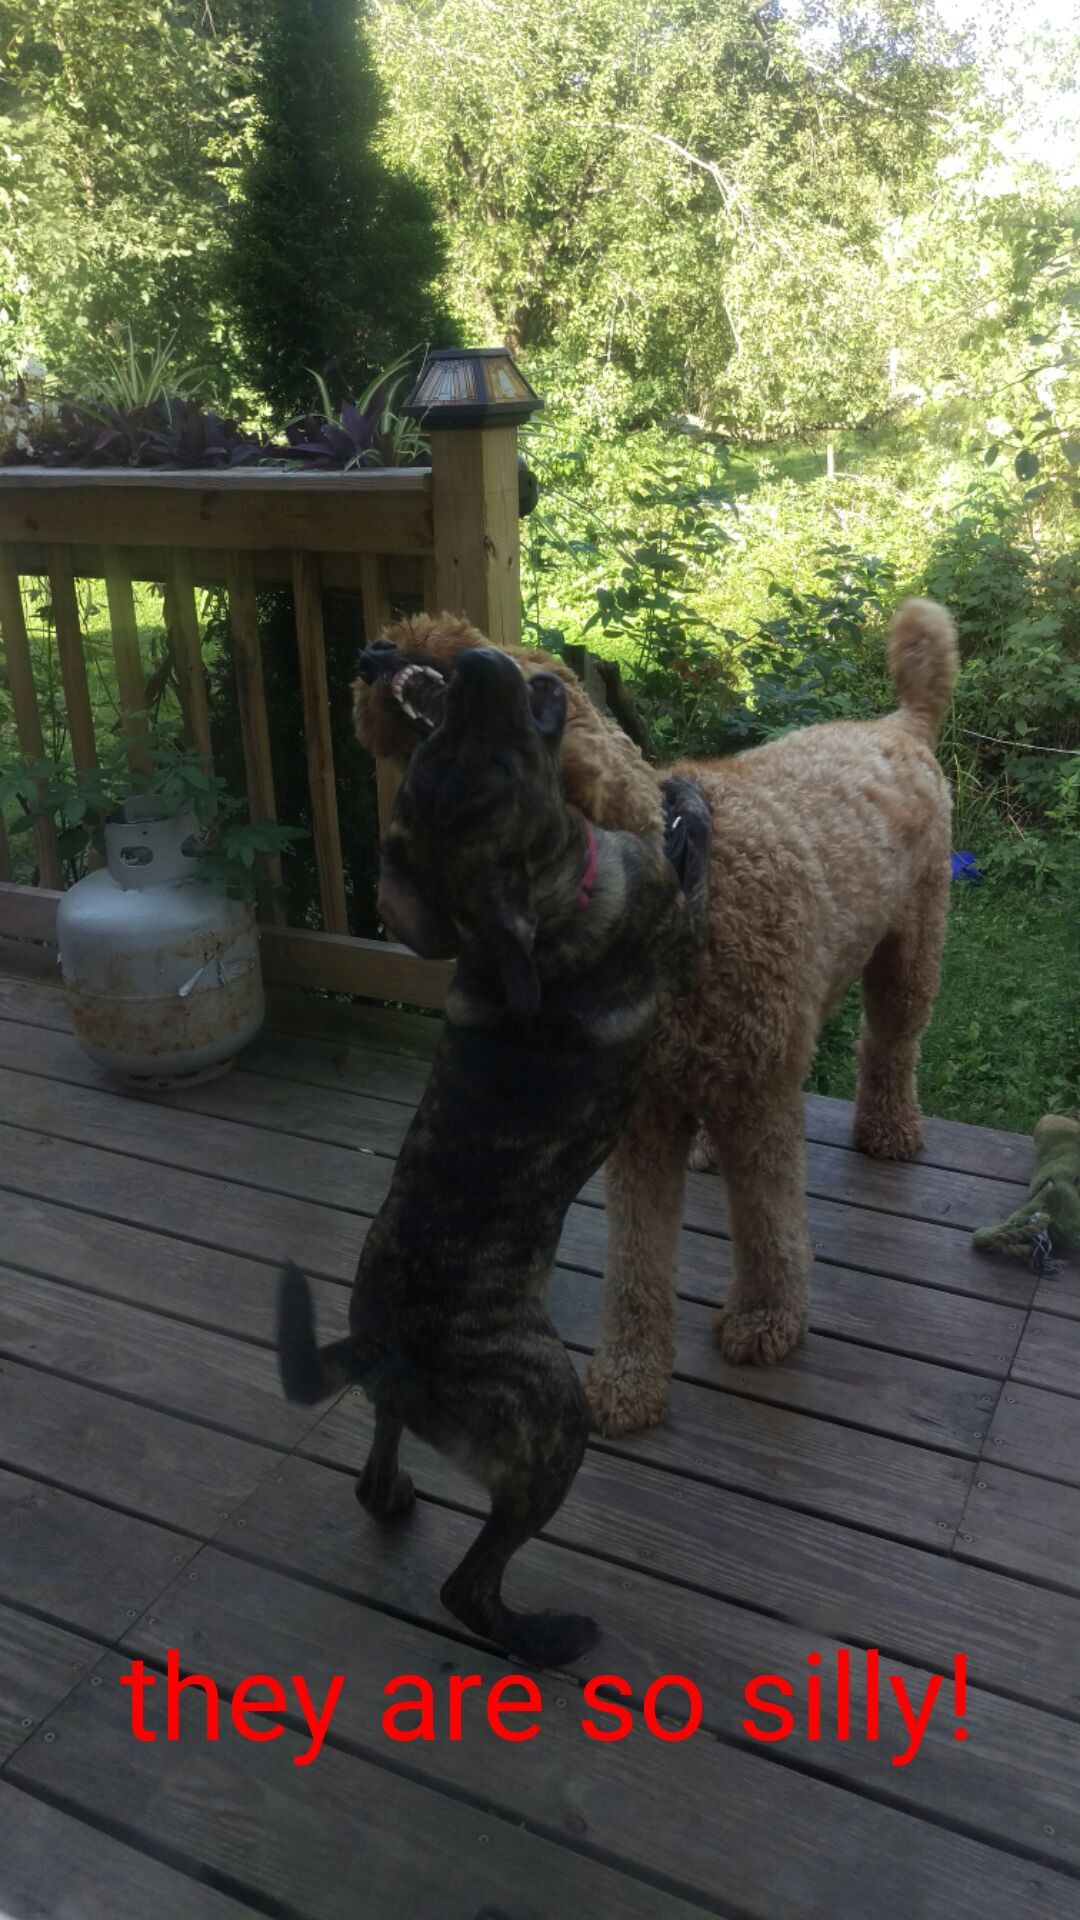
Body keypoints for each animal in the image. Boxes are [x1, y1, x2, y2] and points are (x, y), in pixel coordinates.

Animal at [277, 644, 710, 1665]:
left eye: (452, 752)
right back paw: (549, 1636)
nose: (477, 659)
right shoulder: (673, 915)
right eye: (494, 765)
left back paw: (394, 1497)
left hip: (416, 1414)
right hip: (554, 1426)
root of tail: (384, 1345)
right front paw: (683, 805)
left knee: (378, 1465)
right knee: (469, 1584)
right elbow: (682, 851)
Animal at [354, 602, 959, 1438]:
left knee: (892, 1043)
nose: (372, 652)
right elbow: (637, 1259)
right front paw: (628, 1376)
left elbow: (769, 1226)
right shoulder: (643, 1126)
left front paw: (766, 1319)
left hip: (909, 952)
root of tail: (900, 721)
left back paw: (890, 1128)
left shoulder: (763, 1100)